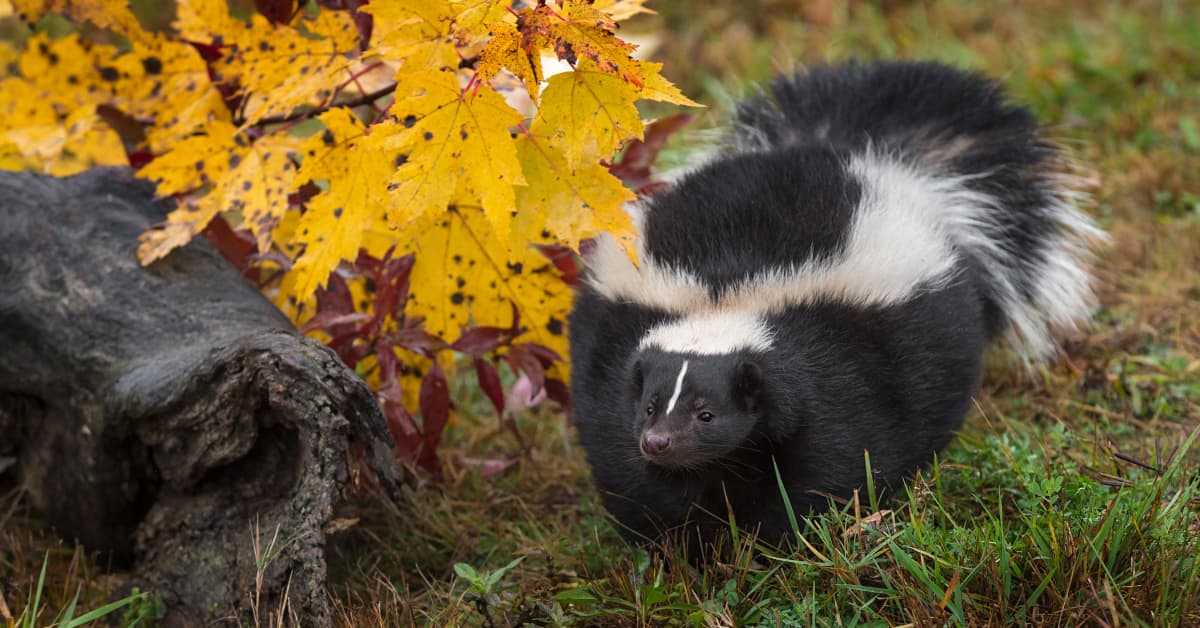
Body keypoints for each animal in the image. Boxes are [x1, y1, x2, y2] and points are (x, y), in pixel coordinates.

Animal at [566, 60, 1099, 549]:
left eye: (707, 414)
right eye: (650, 406)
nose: (658, 441)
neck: (726, 298)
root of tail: (867, 156)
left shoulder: (840, 369)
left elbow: (830, 464)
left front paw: (778, 543)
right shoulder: (616, 357)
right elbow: (634, 470)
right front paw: (680, 545)